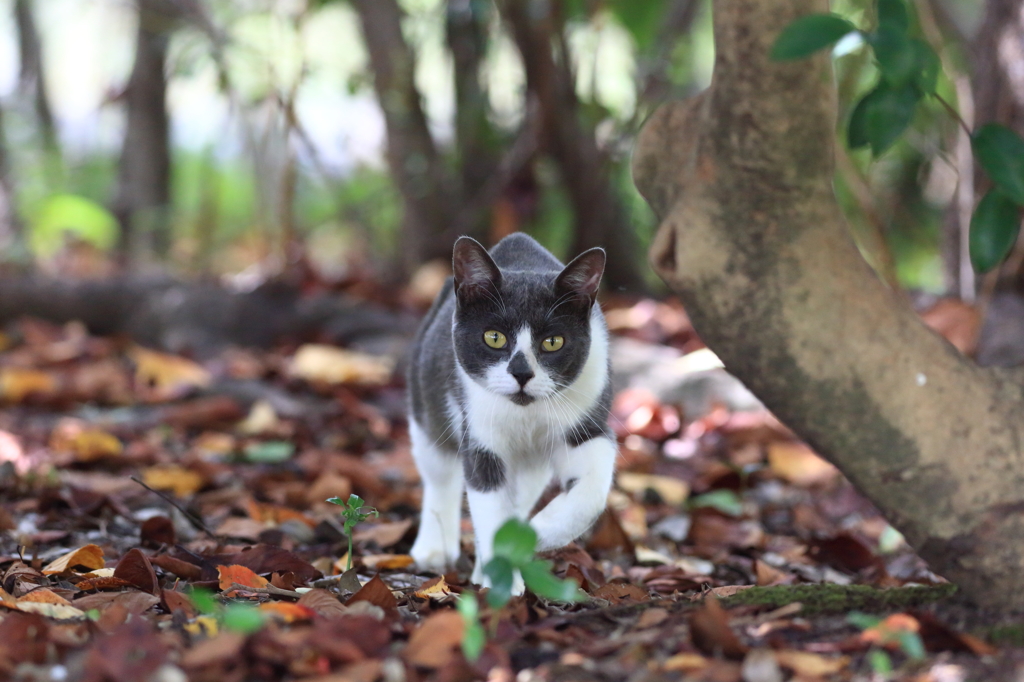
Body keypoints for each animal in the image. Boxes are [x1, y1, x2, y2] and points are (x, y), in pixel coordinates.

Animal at [407, 232, 614, 585]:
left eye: (553, 342)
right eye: (494, 337)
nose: (521, 373)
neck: (527, 413)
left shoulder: (589, 413)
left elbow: (591, 492)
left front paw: (533, 534)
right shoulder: (479, 430)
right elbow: (487, 496)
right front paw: (501, 580)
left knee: (523, 490)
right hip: (426, 398)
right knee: (439, 471)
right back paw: (434, 550)